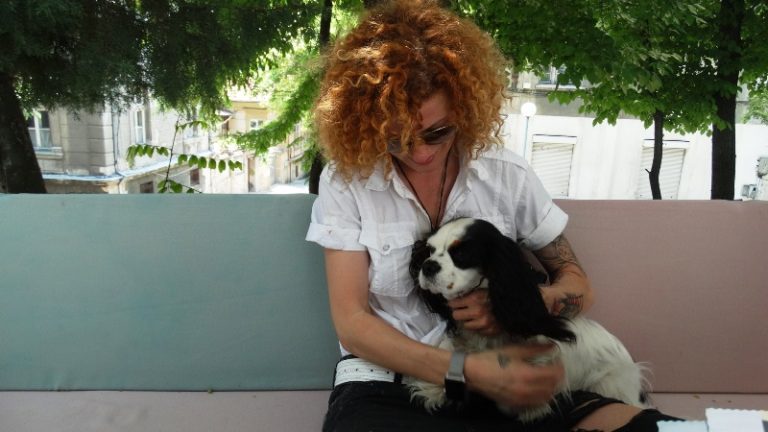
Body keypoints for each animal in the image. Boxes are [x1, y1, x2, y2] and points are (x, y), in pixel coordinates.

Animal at [408, 217, 649, 423]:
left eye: (462, 253)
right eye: (430, 249)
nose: (427, 266)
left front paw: (529, 409)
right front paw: (432, 388)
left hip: (609, 383)